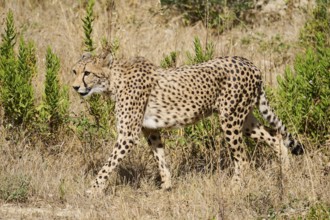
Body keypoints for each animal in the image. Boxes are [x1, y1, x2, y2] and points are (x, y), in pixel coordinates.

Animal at [72, 49, 304, 194]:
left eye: (87, 73)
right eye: (74, 71)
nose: (75, 87)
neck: (113, 80)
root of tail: (249, 62)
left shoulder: (128, 135)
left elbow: (108, 165)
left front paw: (92, 190)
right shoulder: (150, 129)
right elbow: (160, 158)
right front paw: (166, 187)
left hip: (230, 120)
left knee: (242, 157)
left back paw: (236, 186)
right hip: (244, 119)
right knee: (276, 137)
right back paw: (285, 173)